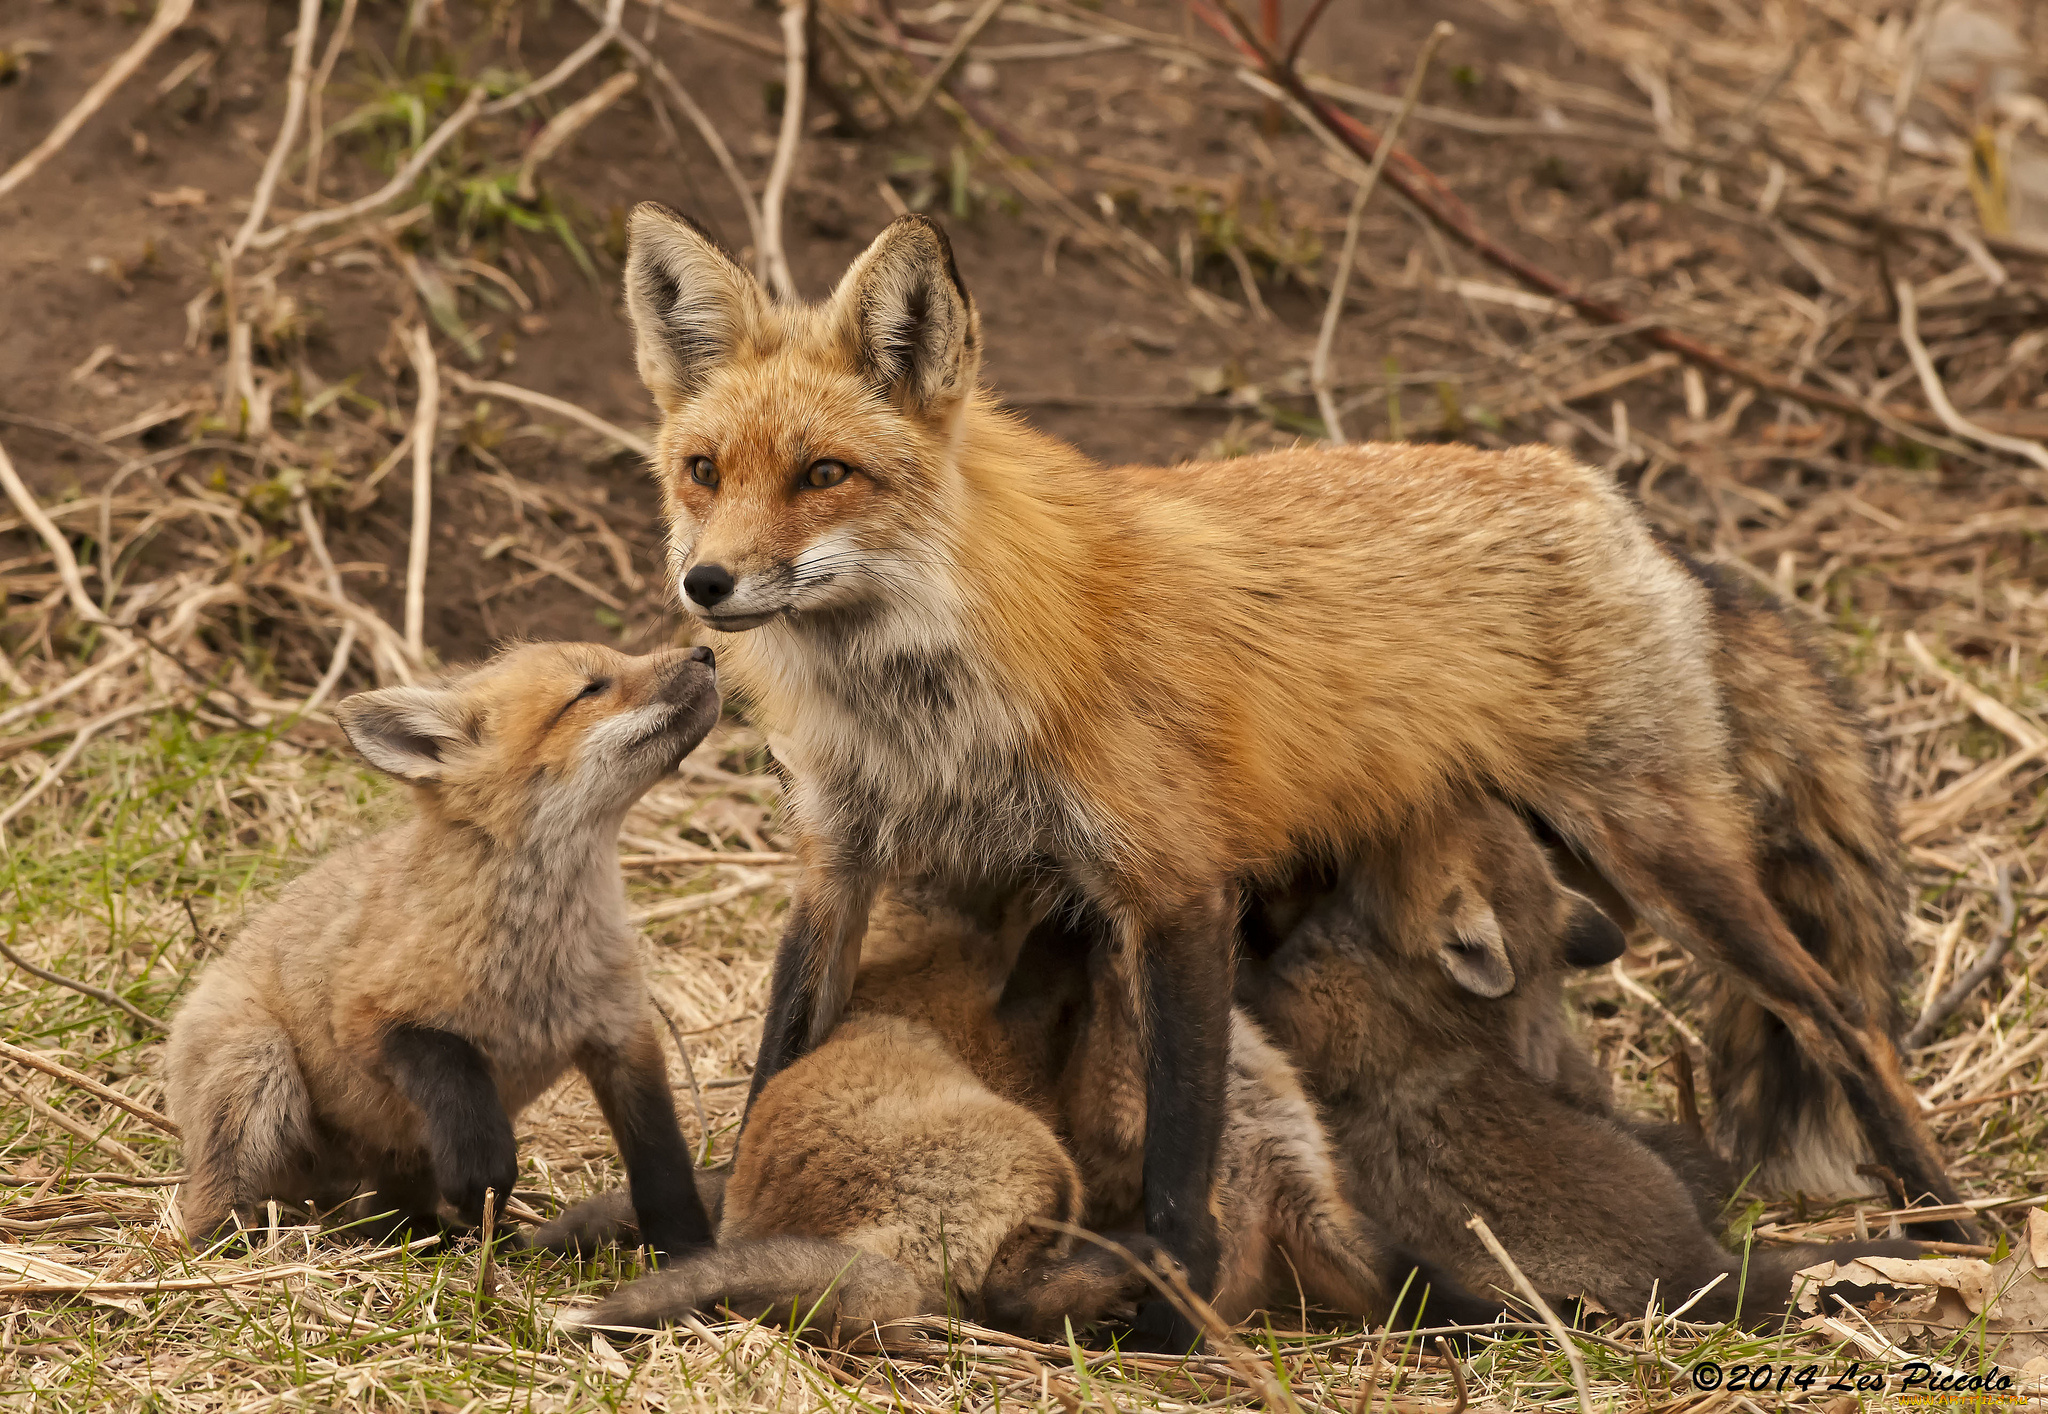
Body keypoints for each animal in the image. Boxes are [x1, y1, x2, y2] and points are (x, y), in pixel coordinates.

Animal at [169, 643, 729, 1254]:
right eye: (592, 688)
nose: (704, 651)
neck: (543, 955)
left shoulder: (622, 1035)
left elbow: (662, 1167)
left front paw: (687, 1253)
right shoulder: (366, 1011)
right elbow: (452, 1069)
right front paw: (483, 1169)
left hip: (392, 1157)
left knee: (382, 1218)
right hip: (258, 1065)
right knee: (214, 1203)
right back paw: (223, 1246)